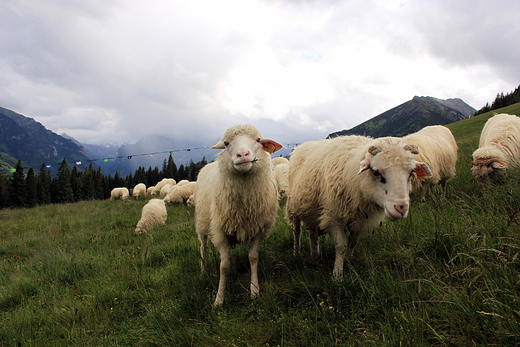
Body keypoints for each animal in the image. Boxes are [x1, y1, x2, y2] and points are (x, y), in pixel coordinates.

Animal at [196, 124, 284, 308]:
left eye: (258, 140)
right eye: (226, 143)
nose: (242, 155)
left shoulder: (258, 229)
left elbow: (253, 257)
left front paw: (254, 290)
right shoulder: (220, 231)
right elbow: (224, 266)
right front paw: (219, 299)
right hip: (202, 224)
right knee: (203, 248)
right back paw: (203, 271)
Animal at [284, 135, 430, 280]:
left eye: (411, 172)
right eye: (376, 172)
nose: (400, 208)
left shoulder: (361, 220)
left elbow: (352, 242)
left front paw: (347, 262)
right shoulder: (333, 215)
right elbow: (341, 246)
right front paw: (337, 275)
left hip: (311, 211)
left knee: (313, 234)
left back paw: (315, 255)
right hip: (293, 208)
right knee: (297, 231)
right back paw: (296, 252)